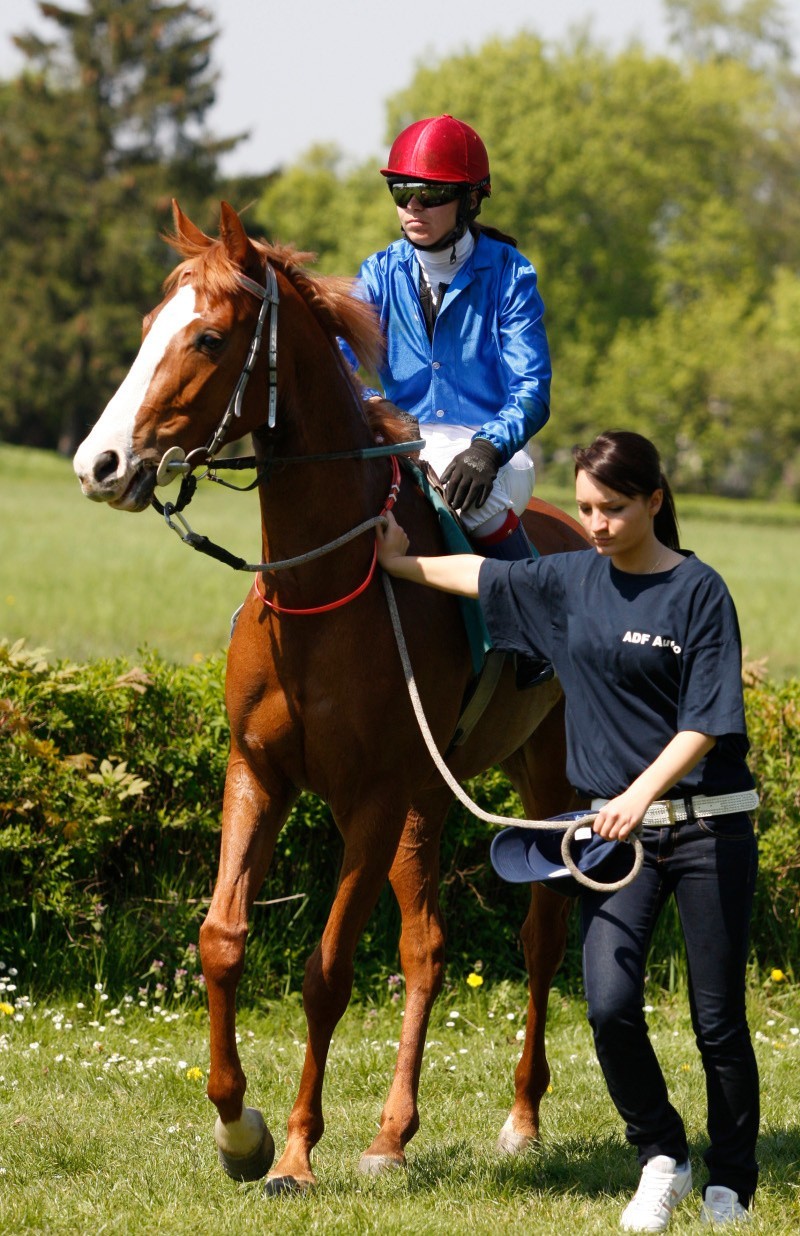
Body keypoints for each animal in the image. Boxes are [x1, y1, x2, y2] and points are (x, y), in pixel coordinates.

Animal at [73, 205, 588, 1196]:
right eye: (149, 326)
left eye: (207, 336)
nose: (99, 464)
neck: (322, 585)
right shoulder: (259, 772)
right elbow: (222, 937)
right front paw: (240, 1130)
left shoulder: (370, 798)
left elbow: (326, 972)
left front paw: (296, 1153)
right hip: (430, 797)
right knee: (426, 947)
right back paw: (391, 1135)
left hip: (542, 778)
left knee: (543, 933)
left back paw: (522, 1117)